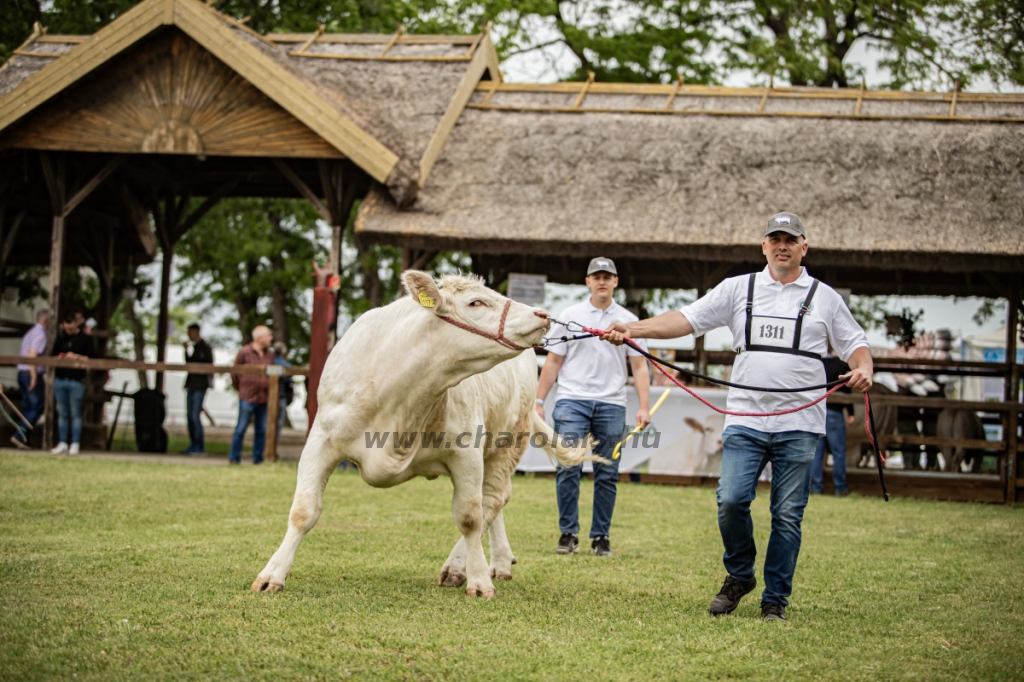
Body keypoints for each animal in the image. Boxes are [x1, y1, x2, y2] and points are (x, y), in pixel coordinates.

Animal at [250, 270, 598, 593]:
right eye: (476, 302)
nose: (541, 314)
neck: (395, 398)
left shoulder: (467, 452)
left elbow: (470, 517)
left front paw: (478, 579)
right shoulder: (322, 439)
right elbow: (303, 510)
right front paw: (272, 574)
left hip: (508, 442)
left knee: (492, 500)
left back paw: (463, 566)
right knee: (497, 501)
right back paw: (499, 561)